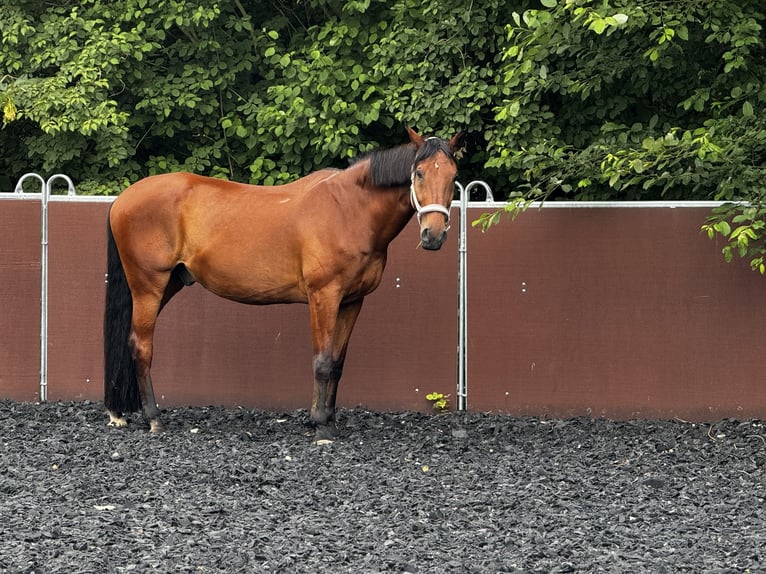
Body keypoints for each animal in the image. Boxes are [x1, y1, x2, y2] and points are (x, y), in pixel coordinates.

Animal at [102, 127, 462, 440]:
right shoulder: (323, 297)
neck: (348, 210)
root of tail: (122, 199)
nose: (433, 235)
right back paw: (154, 418)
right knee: (141, 346)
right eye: (419, 173)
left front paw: (329, 420)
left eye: (452, 176)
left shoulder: (352, 301)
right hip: (149, 286)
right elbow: (322, 362)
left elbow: (338, 363)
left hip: (168, 285)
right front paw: (321, 427)